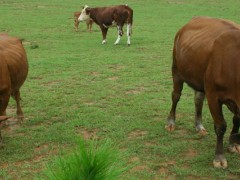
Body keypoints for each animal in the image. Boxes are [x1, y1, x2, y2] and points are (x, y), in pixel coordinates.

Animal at [166, 16, 240, 168]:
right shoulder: (213, 95)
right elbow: (221, 126)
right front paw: (219, 157)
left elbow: (237, 120)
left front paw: (233, 144)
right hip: (176, 70)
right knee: (175, 96)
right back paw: (171, 122)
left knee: (198, 99)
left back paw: (199, 126)